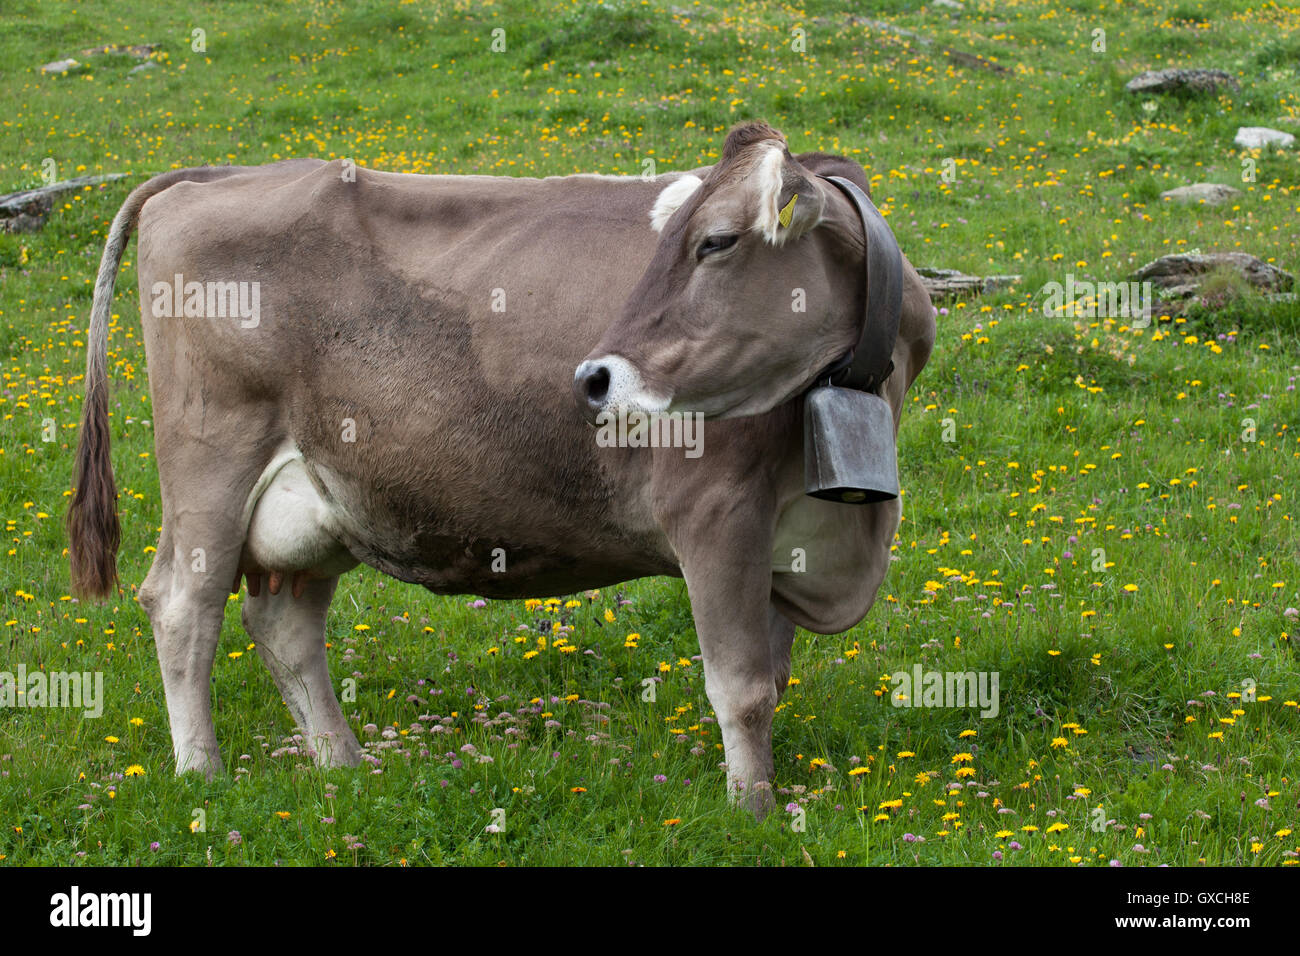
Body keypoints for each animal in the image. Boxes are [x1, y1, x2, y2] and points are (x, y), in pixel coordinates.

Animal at [68, 121, 935, 816]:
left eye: (715, 241)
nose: (596, 379)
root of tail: (215, 175)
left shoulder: (795, 531)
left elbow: (774, 677)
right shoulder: (717, 512)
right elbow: (743, 687)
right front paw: (753, 811)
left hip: (320, 497)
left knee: (284, 621)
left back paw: (343, 763)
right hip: (211, 462)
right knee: (182, 604)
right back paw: (202, 772)